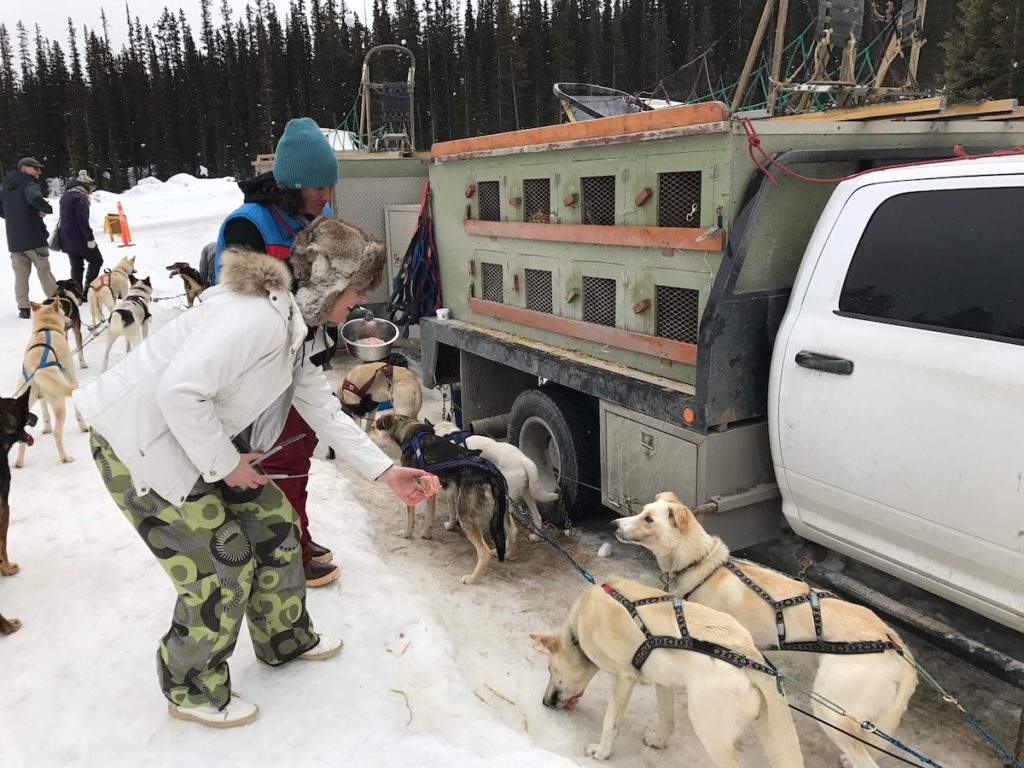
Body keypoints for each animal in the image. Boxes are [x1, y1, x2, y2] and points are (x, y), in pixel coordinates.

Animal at [532, 581, 802, 765]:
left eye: (549, 669)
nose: (543, 702)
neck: (579, 629)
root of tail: (749, 652)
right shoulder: (663, 682)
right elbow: (667, 720)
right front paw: (659, 743)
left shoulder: (623, 679)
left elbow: (610, 724)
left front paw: (601, 752)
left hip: (709, 729)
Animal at [610, 493, 917, 768]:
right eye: (643, 511)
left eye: (648, 519)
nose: (614, 523)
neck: (702, 565)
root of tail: (895, 643)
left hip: (832, 710)